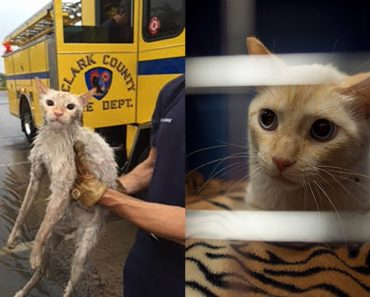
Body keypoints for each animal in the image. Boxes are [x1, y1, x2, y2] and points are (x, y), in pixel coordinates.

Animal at [6, 78, 117, 296]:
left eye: (70, 106)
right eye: (50, 103)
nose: (57, 113)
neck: (53, 137)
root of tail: (72, 227)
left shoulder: (63, 186)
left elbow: (41, 230)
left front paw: (33, 253)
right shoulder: (36, 175)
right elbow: (23, 210)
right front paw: (13, 238)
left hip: (82, 252)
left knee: (71, 283)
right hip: (55, 236)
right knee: (41, 271)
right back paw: (24, 291)